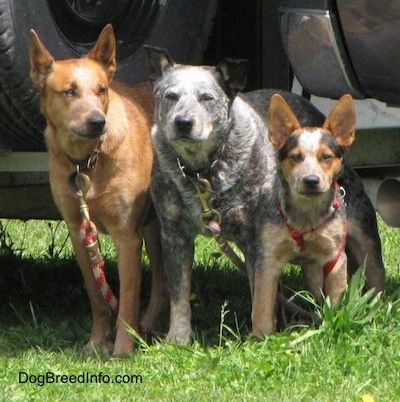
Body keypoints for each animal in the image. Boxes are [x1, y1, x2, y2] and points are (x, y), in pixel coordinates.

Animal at [146, 47, 384, 342]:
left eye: (206, 97)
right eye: (170, 96)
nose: (183, 122)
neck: (203, 171)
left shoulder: (253, 239)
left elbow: (258, 292)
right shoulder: (173, 234)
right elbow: (179, 294)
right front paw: (178, 337)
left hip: (362, 238)